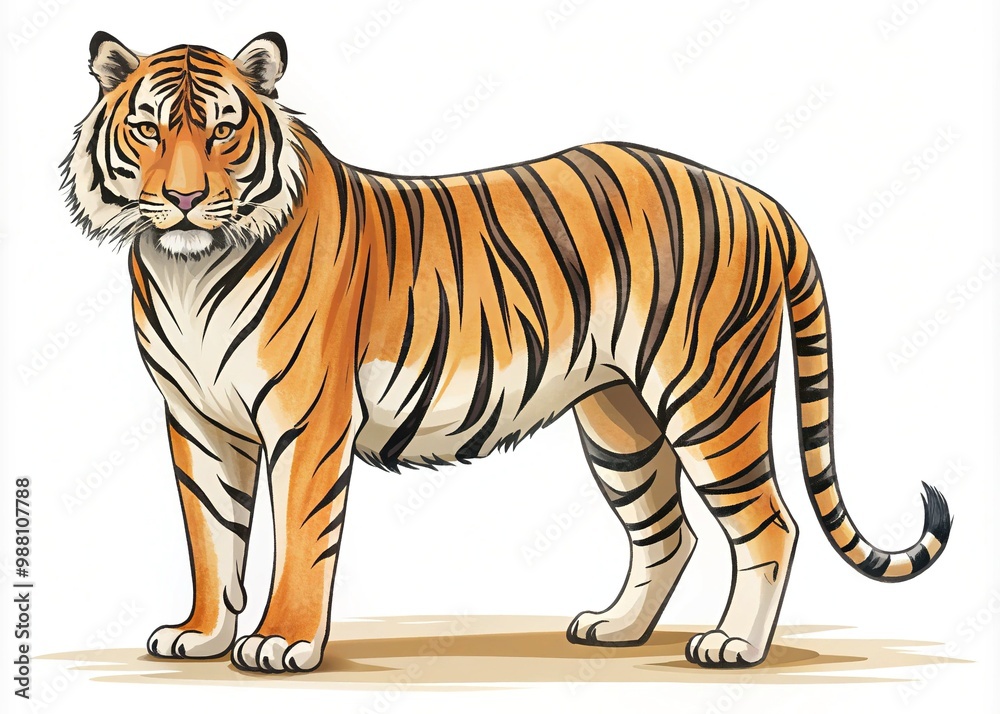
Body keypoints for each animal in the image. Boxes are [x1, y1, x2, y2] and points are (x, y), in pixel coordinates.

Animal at [63, 32, 951, 674]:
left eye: (223, 129)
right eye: (147, 128)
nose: (183, 199)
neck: (187, 268)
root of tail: (761, 198)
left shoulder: (308, 420)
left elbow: (300, 543)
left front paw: (282, 642)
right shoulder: (198, 421)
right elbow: (211, 536)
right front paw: (201, 634)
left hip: (710, 399)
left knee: (769, 526)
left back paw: (734, 646)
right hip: (619, 421)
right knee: (669, 533)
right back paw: (615, 628)